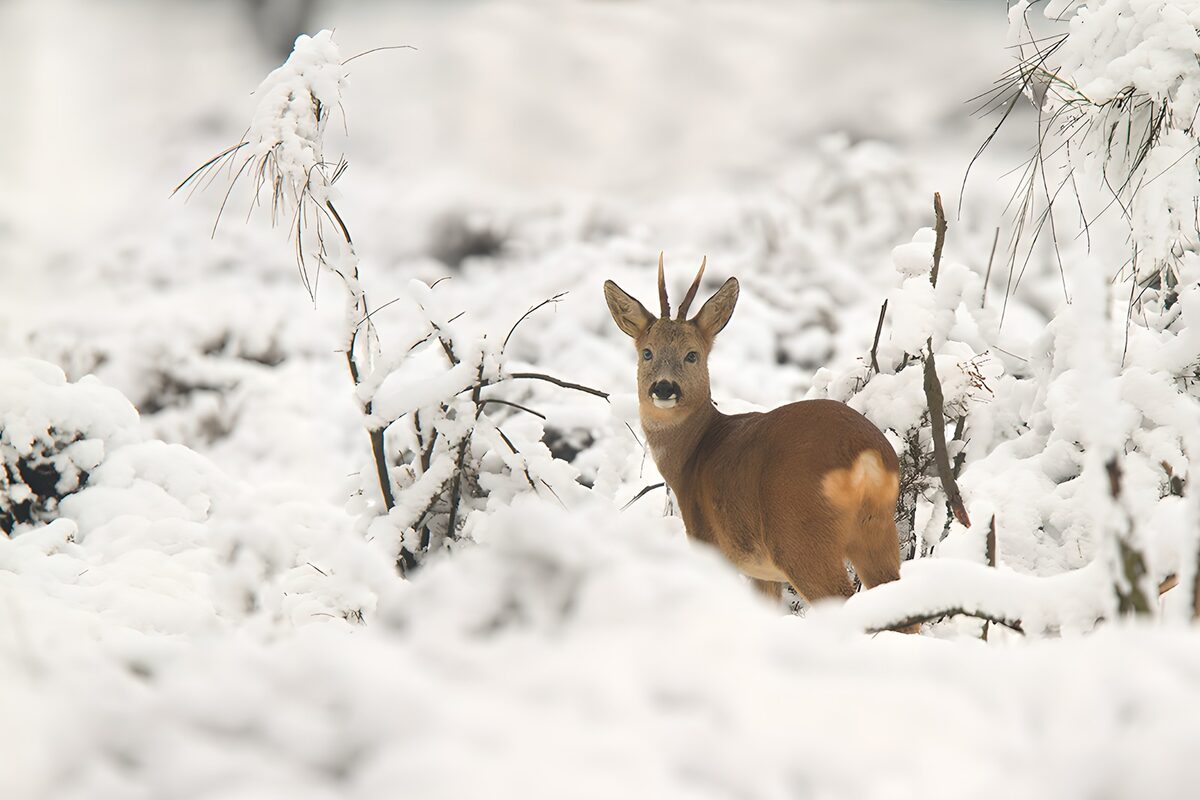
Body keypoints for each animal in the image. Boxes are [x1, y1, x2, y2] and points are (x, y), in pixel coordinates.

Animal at [604, 254, 905, 608]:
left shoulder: (710, 544)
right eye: (647, 352)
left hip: (800, 534)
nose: (664, 388)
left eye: (692, 355)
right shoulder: (764, 573)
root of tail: (863, 454)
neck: (694, 454)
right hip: (877, 529)